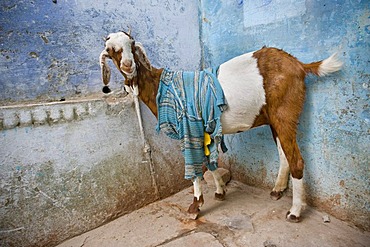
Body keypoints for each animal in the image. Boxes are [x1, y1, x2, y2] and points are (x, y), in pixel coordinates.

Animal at [99, 30, 342, 222]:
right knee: (284, 155)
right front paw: (220, 191)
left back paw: (295, 212)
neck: (162, 86)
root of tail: (299, 65)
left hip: (285, 112)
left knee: (296, 160)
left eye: (132, 44)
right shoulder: (203, 129)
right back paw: (277, 190)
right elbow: (210, 162)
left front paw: (195, 207)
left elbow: (196, 169)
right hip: (274, 118)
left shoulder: (190, 129)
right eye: (110, 49)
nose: (128, 65)